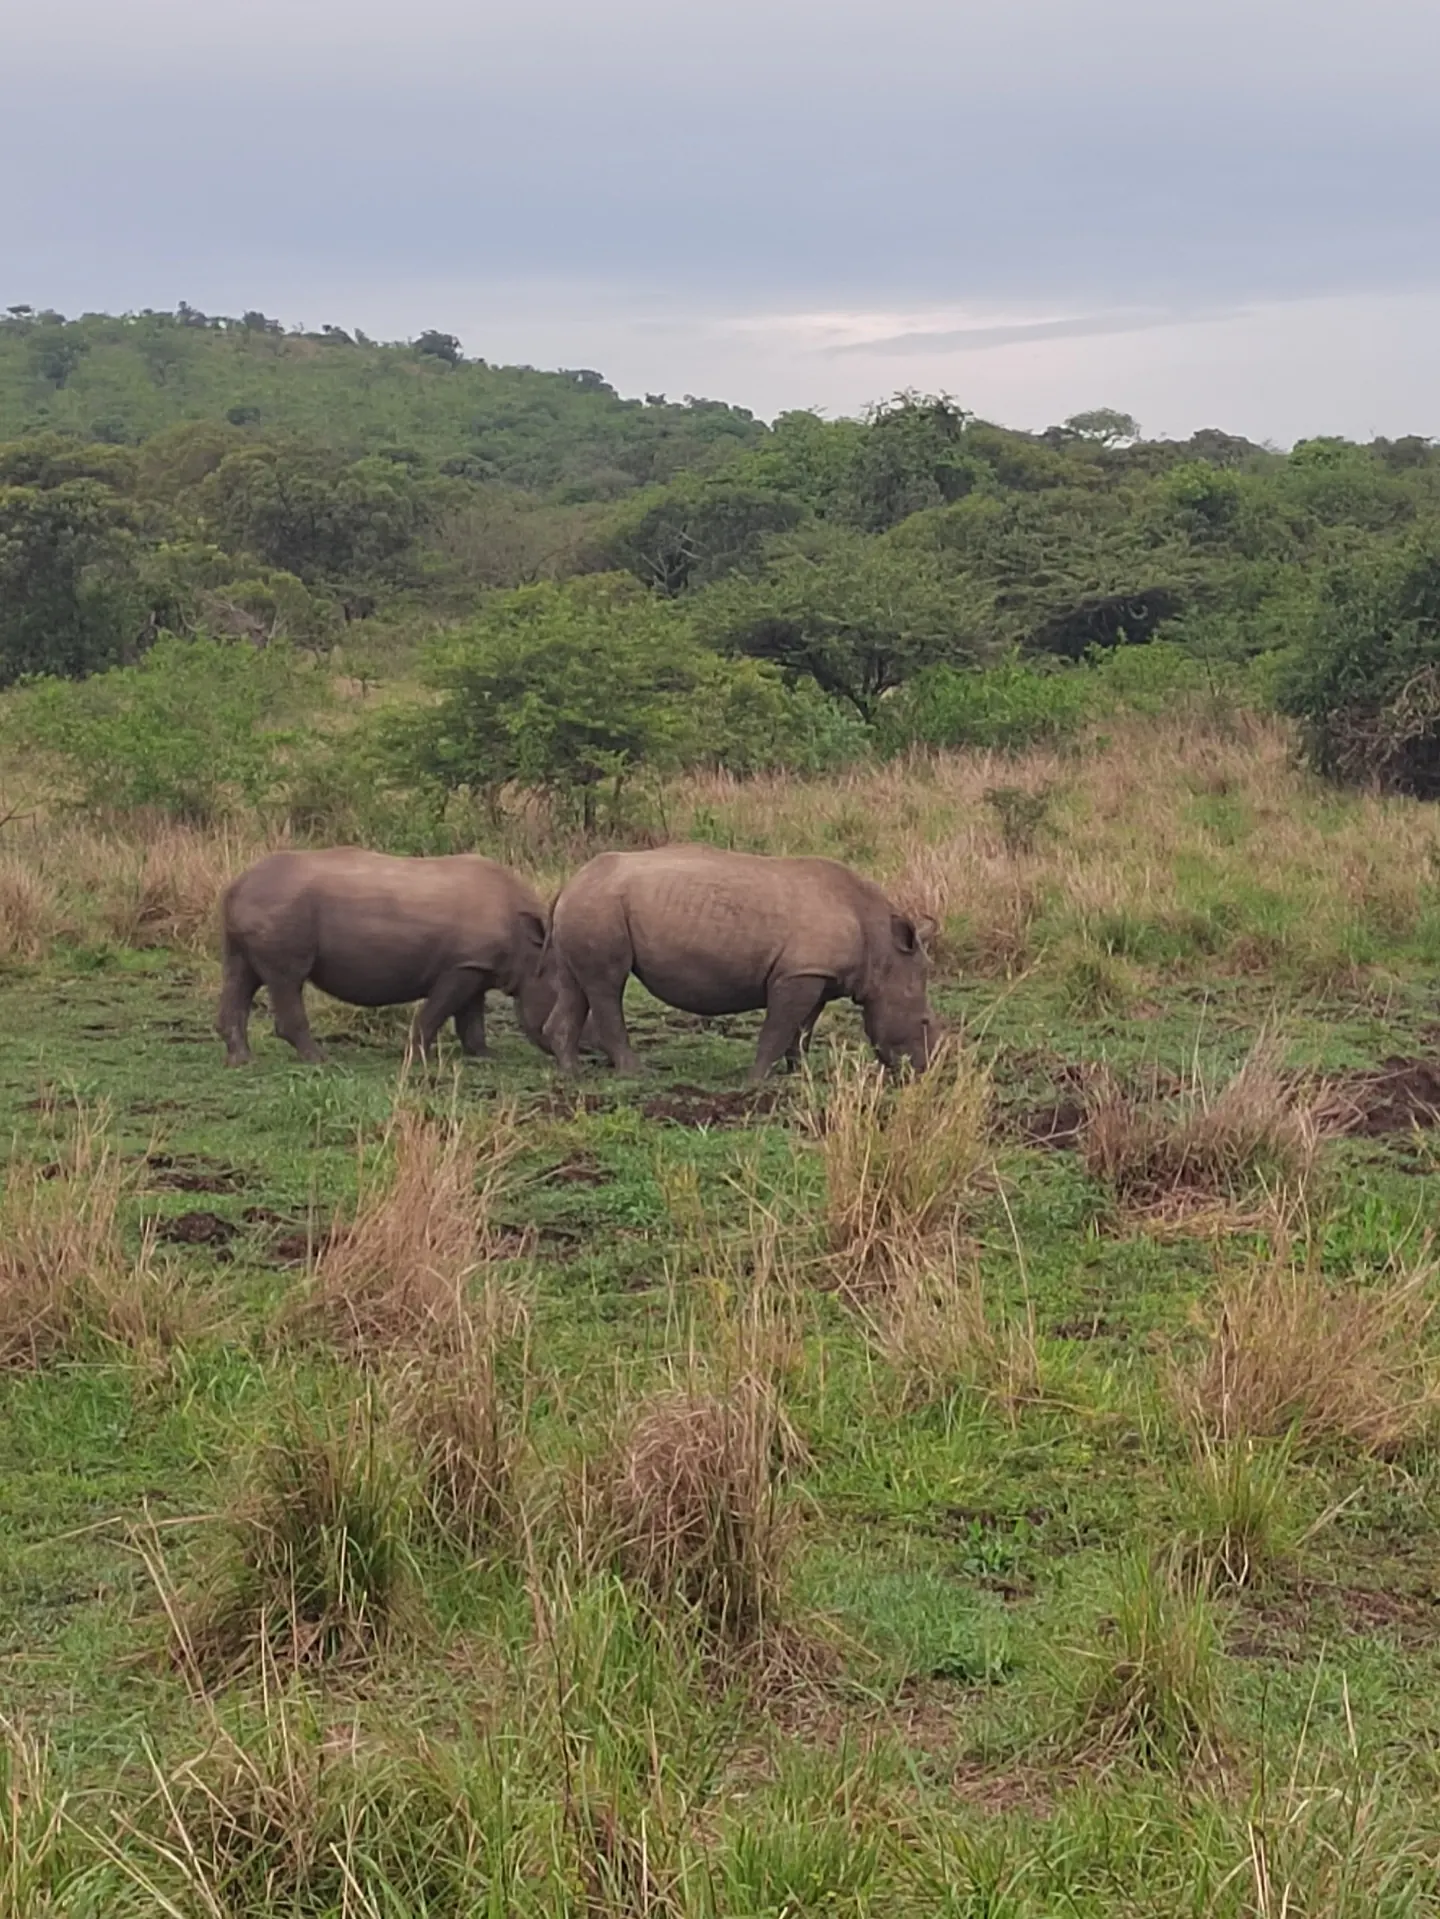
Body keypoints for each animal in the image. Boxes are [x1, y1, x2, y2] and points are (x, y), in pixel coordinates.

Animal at [217, 848, 554, 1066]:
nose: (564, 1050)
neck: (531, 948)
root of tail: (235, 886)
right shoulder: (462, 967)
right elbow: (437, 1011)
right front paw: (417, 1056)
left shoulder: (476, 965)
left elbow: (471, 1017)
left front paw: (486, 1055)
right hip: (280, 906)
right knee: (287, 980)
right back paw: (320, 1060)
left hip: (258, 908)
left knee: (241, 975)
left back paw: (242, 1061)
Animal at [543, 844, 938, 1084]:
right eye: (923, 1021)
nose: (924, 1071)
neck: (883, 950)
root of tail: (569, 884)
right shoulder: (799, 974)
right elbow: (777, 1030)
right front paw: (756, 1082)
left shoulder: (817, 976)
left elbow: (802, 1031)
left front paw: (800, 1076)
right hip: (600, 906)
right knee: (607, 986)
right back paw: (635, 1074)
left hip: (587, 905)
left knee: (577, 986)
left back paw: (570, 1075)